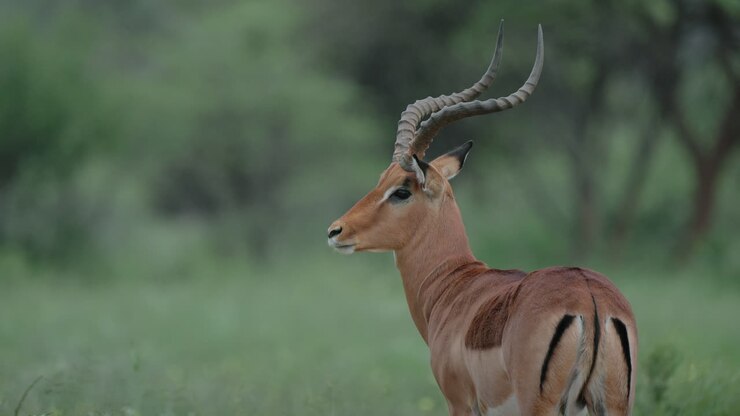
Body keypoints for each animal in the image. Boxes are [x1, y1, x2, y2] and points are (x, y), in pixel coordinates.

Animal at [327, 22, 637, 416]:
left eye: (401, 190)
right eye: (382, 178)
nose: (336, 230)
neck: (455, 286)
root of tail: (589, 300)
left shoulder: (459, 402)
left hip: (540, 406)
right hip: (613, 404)